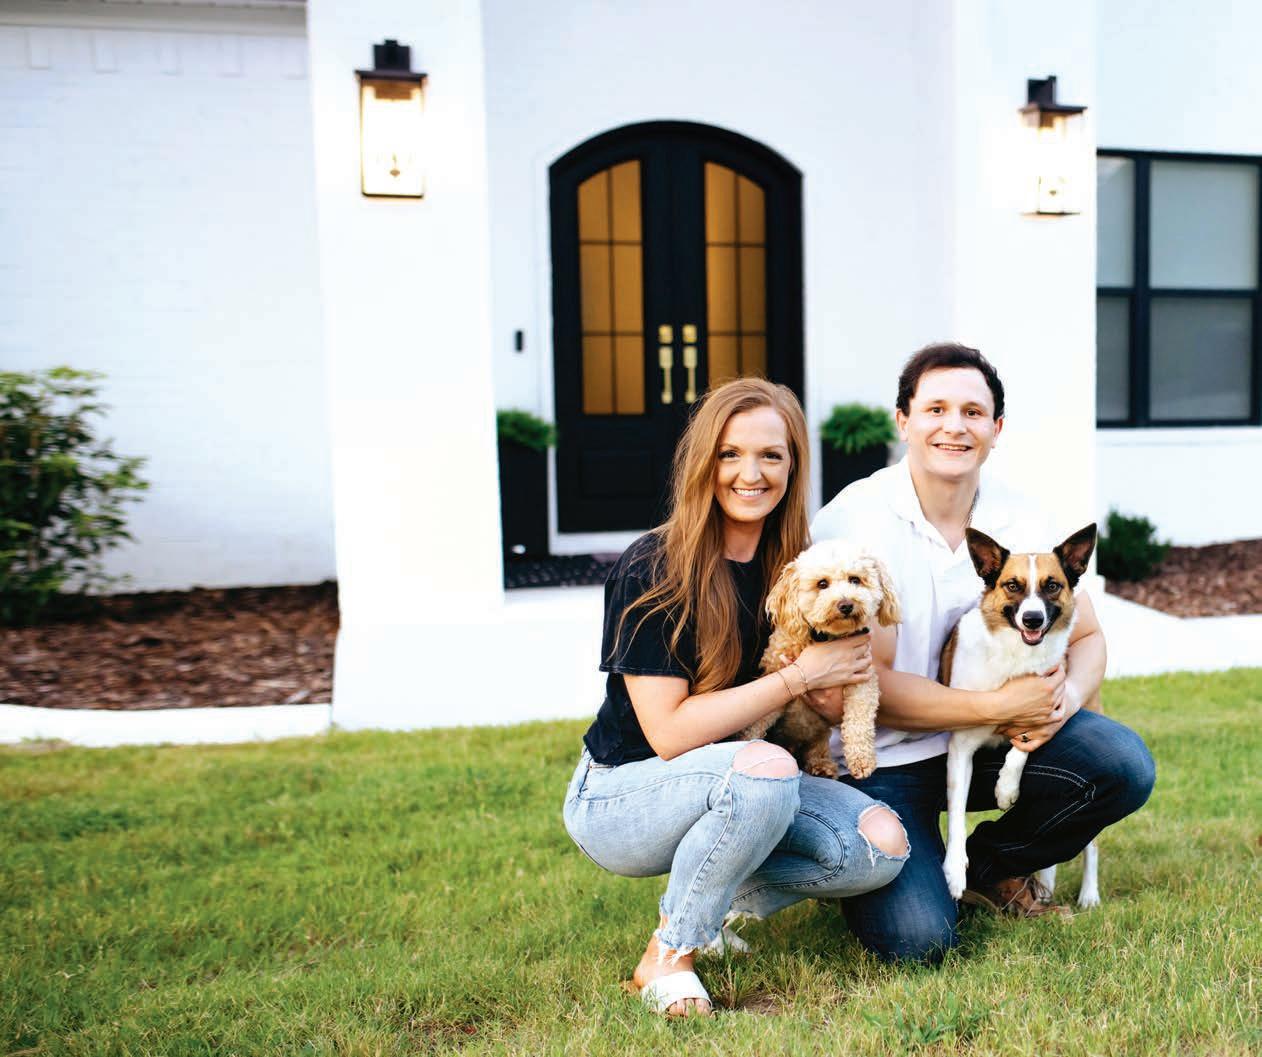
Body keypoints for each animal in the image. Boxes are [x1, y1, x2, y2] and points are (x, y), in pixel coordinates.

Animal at [740, 539, 901, 779]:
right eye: (822, 584)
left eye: (855, 579)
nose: (846, 604)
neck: (828, 639)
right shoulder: (773, 680)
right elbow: (757, 720)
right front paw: (744, 743)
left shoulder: (863, 682)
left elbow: (859, 720)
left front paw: (862, 760)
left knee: (818, 746)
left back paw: (822, 765)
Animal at [938, 523, 1099, 904]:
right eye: (1013, 585)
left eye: (1052, 585)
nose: (1032, 618)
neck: (1015, 655)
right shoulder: (960, 749)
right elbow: (955, 815)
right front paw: (954, 872)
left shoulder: (1043, 712)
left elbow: (1021, 748)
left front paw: (1006, 786)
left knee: (1091, 845)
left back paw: (1088, 893)